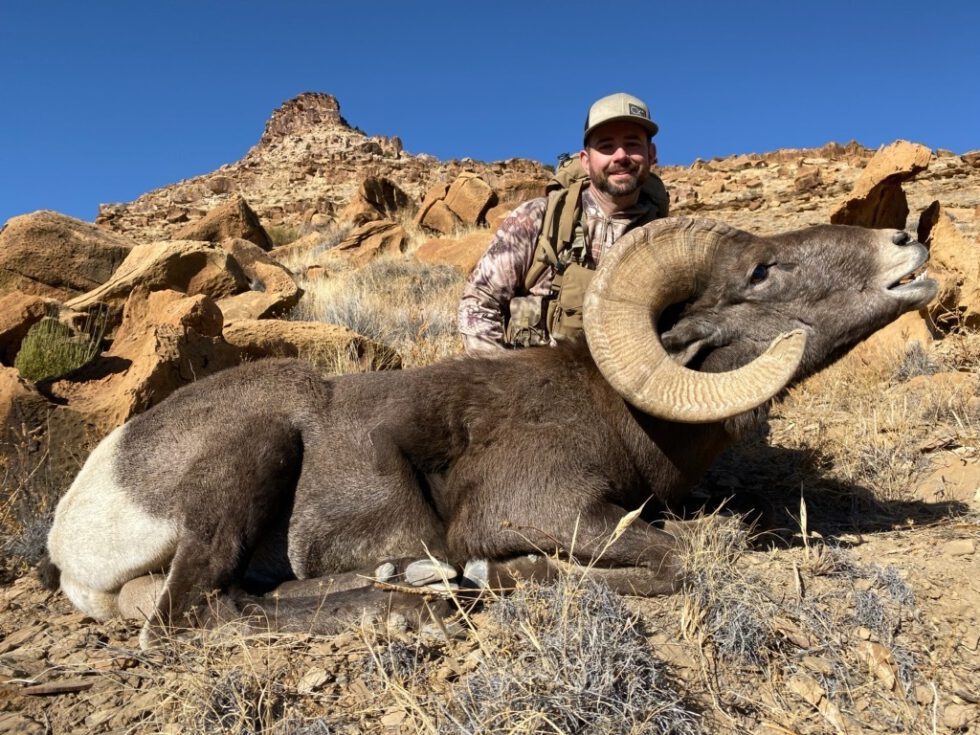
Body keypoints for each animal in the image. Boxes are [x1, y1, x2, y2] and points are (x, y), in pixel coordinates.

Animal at [43, 217, 937, 646]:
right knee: (192, 613)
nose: (907, 242)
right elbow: (674, 560)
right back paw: (416, 607)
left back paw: (416, 582)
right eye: (759, 272)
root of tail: (74, 527)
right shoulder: (549, 511)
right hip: (257, 449)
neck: (616, 411)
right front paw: (500, 575)